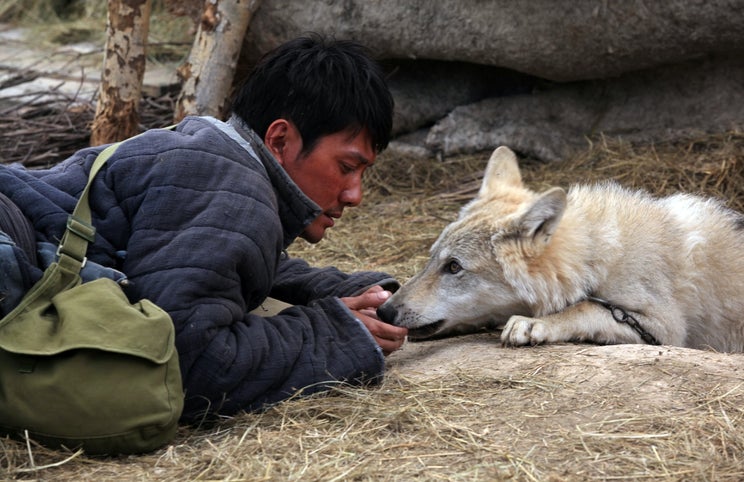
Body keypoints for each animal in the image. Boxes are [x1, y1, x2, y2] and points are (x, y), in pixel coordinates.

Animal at [380, 145, 744, 352]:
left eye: (454, 266)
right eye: (432, 259)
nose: (384, 312)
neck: (594, 259)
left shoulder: (664, 328)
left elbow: (583, 309)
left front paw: (533, 325)